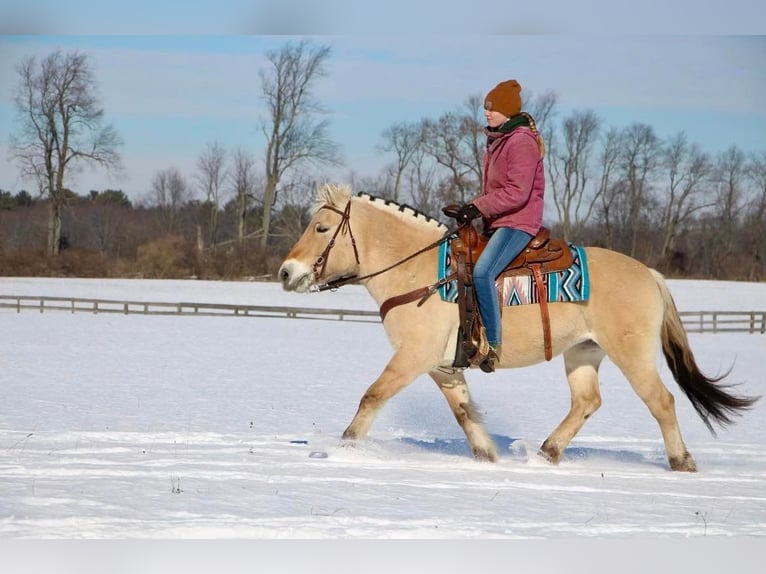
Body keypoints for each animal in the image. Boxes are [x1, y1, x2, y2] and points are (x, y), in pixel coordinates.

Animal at [280, 183, 760, 472]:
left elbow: (372, 396)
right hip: (583, 352)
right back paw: (547, 452)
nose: (286, 272)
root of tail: (651, 274)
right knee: (587, 401)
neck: (417, 271)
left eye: (321, 227)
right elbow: (463, 412)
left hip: (633, 354)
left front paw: (345, 448)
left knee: (661, 401)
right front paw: (487, 455)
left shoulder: (413, 356)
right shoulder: (441, 366)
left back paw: (681, 462)